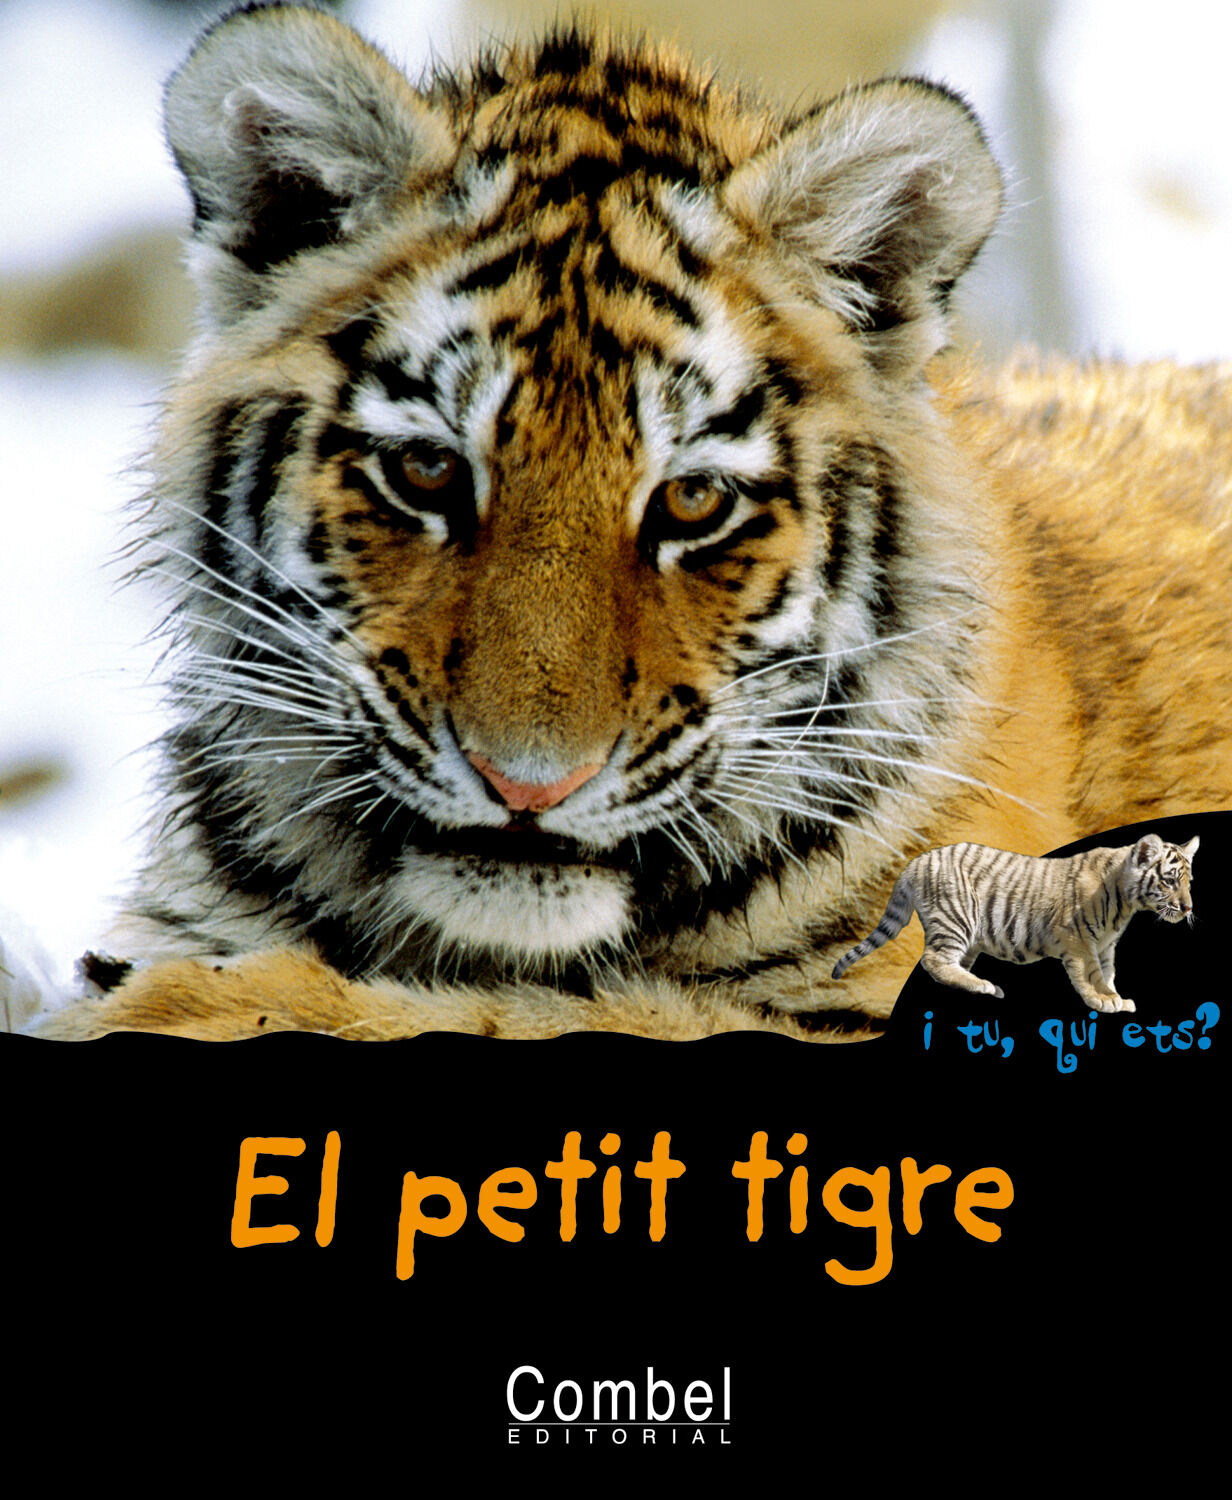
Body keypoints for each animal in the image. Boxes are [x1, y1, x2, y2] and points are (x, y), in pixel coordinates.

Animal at [831, 834, 1199, 1013]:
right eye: (1169, 880)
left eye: (1189, 881)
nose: (1187, 908)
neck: (1125, 903)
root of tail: (915, 861)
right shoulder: (1079, 940)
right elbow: (1090, 974)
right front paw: (1104, 1001)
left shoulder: (1106, 945)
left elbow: (1107, 974)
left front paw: (1116, 998)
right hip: (957, 917)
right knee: (932, 959)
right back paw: (984, 986)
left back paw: (978, 984)